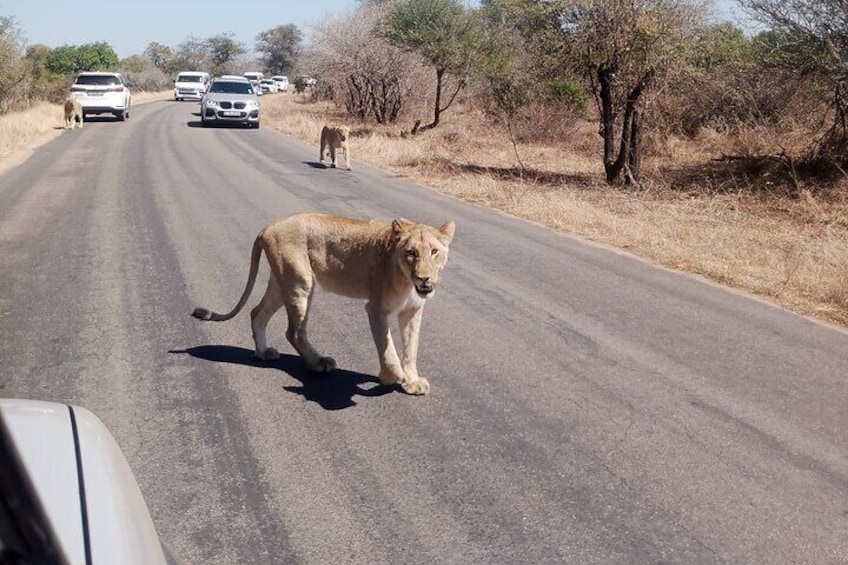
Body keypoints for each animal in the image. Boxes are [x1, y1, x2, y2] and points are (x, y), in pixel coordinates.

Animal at [192, 214, 458, 394]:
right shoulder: (375, 308)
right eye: (411, 253)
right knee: (293, 331)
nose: (424, 278)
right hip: (301, 280)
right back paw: (319, 363)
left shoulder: (412, 310)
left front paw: (412, 381)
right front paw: (390, 377)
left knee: (257, 313)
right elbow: (388, 349)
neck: (407, 281)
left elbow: (411, 347)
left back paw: (262, 353)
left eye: (434, 252)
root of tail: (269, 226)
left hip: (282, 281)